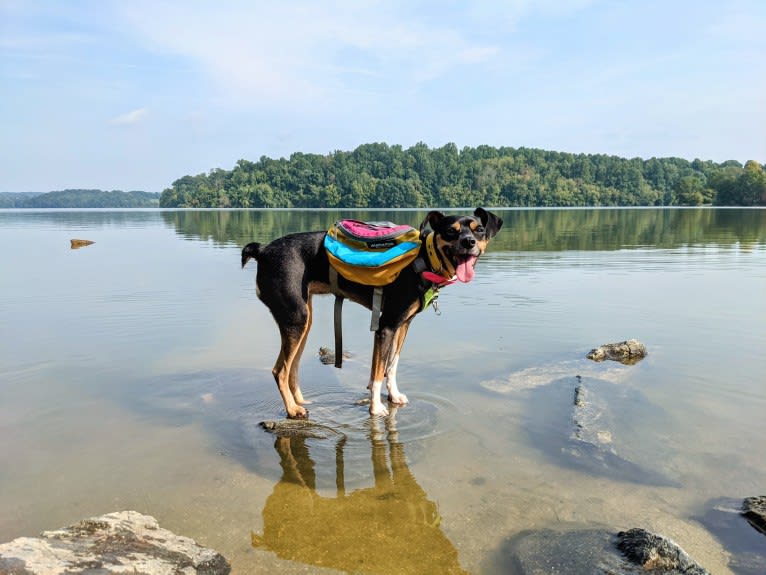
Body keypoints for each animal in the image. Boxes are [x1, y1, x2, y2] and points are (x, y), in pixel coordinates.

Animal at [242, 207, 504, 418]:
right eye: (451, 231)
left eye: (479, 230)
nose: (469, 242)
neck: (425, 260)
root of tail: (263, 250)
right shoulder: (386, 326)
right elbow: (377, 373)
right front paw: (376, 407)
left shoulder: (403, 325)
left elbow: (392, 365)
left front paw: (394, 395)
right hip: (296, 319)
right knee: (280, 371)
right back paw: (292, 409)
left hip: (304, 321)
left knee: (292, 368)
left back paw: (300, 402)